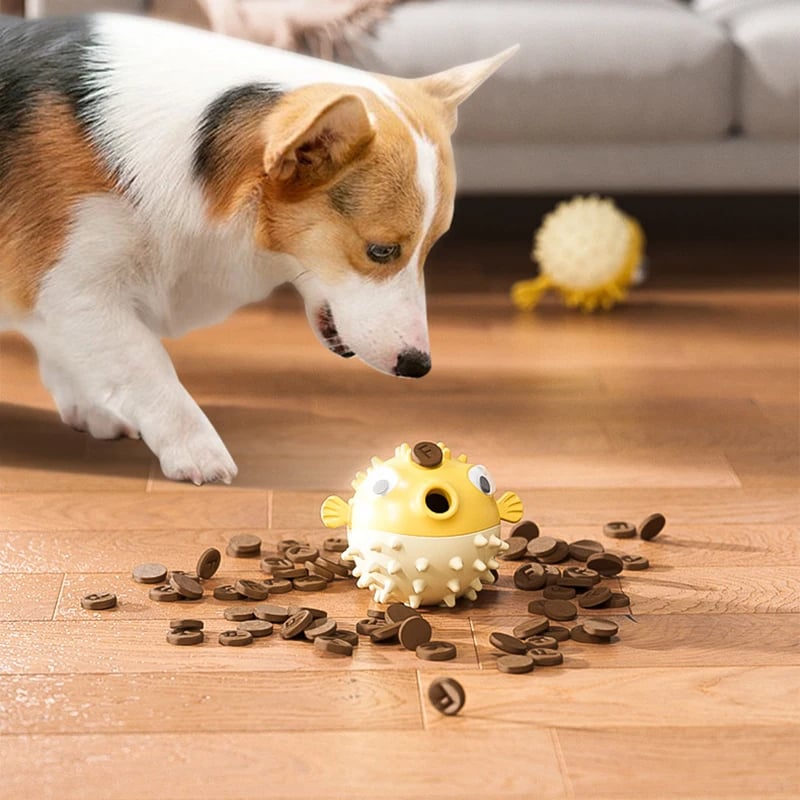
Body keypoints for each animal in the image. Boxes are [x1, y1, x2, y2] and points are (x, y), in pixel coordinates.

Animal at [0, 12, 516, 484]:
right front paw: (199, 453)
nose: (418, 367)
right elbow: (147, 363)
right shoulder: (76, 288)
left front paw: (94, 409)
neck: (201, 161)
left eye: (430, 248)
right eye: (381, 251)